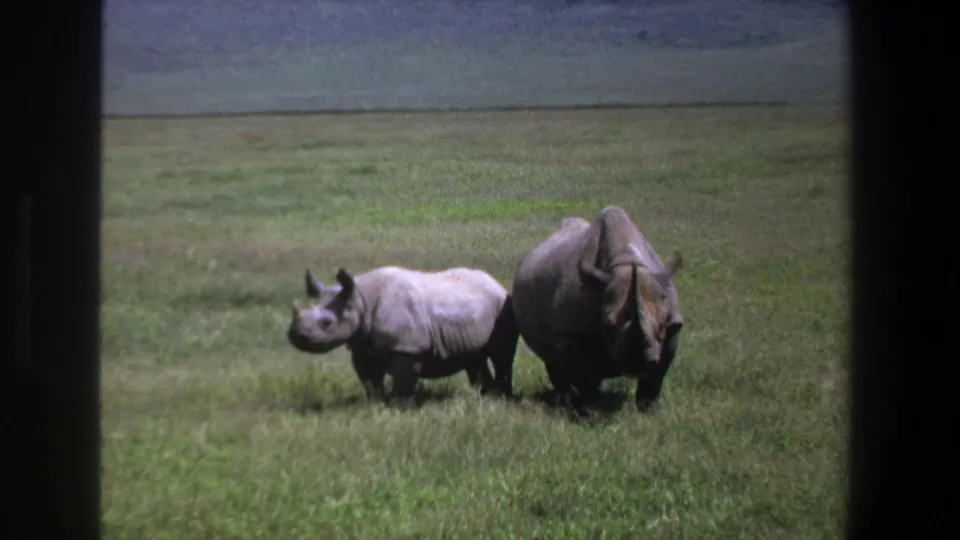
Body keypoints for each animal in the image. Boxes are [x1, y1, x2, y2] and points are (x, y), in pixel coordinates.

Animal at [287, 266, 519, 410]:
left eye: (326, 323)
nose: (295, 336)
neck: (360, 298)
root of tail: (496, 283)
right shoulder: (362, 346)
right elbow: (370, 380)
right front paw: (376, 404)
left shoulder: (407, 347)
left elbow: (404, 381)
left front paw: (402, 409)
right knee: (474, 357)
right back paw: (484, 396)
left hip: (502, 306)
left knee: (502, 356)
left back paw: (502, 398)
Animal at [511, 206, 684, 414]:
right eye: (608, 325)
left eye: (661, 326)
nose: (636, 362)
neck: (625, 262)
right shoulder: (572, 332)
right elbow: (584, 376)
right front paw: (589, 411)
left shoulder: (673, 324)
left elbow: (657, 373)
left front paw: (648, 410)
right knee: (553, 360)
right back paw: (564, 399)